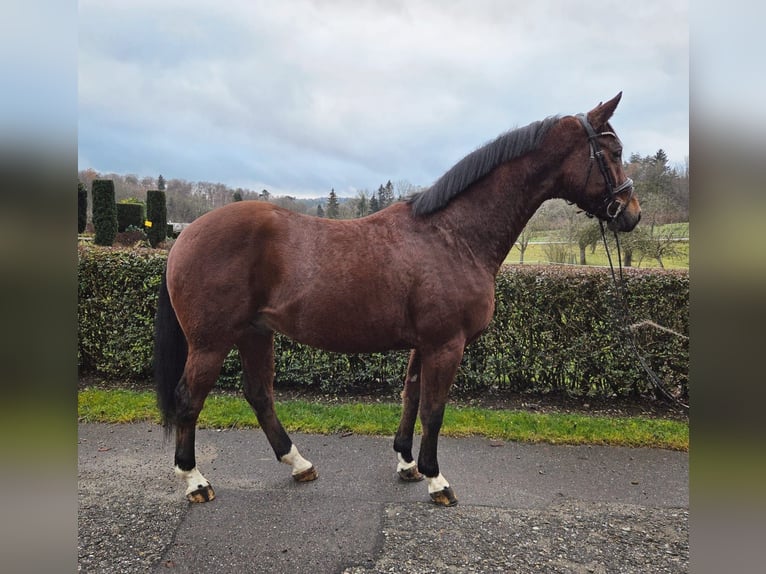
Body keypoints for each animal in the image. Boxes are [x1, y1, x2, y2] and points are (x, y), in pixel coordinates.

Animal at [155, 93, 640, 506]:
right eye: (614, 152)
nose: (633, 214)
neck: (452, 235)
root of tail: (185, 236)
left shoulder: (425, 344)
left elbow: (411, 396)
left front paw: (408, 463)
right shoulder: (446, 344)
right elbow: (434, 408)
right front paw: (436, 479)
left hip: (255, 333)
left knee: (258, 394)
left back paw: (298, 463)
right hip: (212, 342)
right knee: (189, 398)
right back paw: (195, 481)